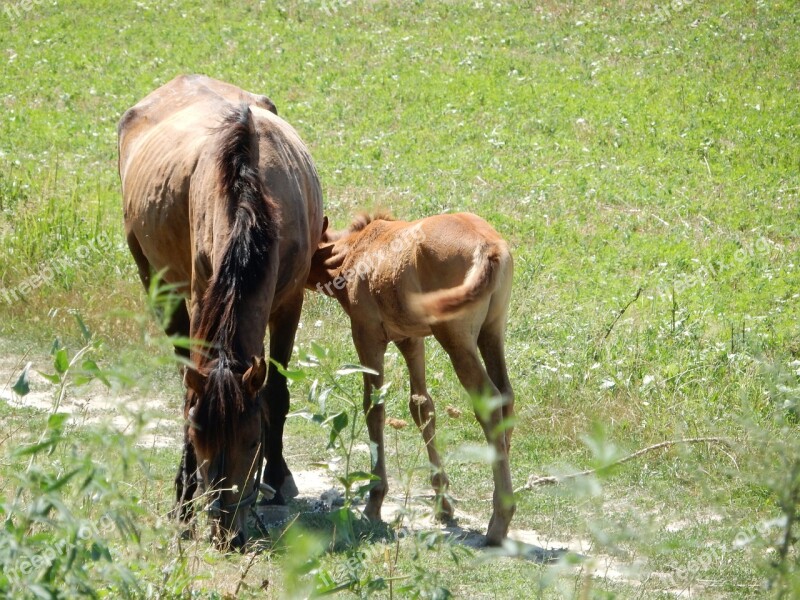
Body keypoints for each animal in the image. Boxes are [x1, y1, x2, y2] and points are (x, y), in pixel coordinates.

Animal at [118, 75, 322, 548]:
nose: (226, 533)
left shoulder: (290, 304)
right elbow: (190, 392)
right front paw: (184, 496)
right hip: (155, 282)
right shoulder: (197, 298)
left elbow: (276, 392)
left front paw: (278, 477)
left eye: (253, 442)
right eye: (200, 439)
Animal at [304, 213, 516, 548]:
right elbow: (421, 406)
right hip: (492, 331)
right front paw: (442, 503)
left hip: (456, 339)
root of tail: (490, 248)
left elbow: (374, 408)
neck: (355, 250)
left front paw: (374, 502)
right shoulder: (411, 339)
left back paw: (499, 522)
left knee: (490, 402)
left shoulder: (367, 334)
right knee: (506, 395)